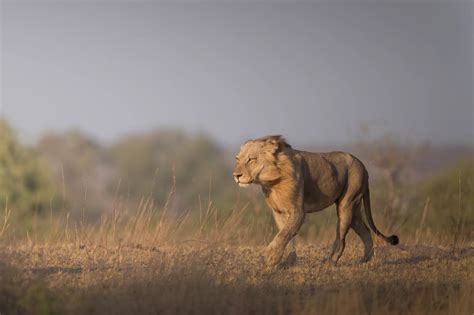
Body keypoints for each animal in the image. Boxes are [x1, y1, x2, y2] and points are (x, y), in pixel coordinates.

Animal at [231, 135, 398, 266]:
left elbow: (284, 234)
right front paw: (289, 260)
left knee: (341, 239)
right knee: (365, 231)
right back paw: (364, 260)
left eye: (251, 160)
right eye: (237, 159)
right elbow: (286, 235)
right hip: (354, 208)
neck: (271, 182)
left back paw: (330, 262)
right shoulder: (278, 212)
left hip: (346, 204)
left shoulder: (298, 211)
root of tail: (363, 166)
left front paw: (269, 258)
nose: (236, 175)